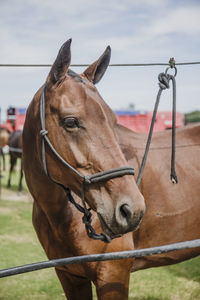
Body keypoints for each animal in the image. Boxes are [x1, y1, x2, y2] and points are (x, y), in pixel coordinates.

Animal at [22, 39, 145, 300]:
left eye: (113, 120)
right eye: (70, 122)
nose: (132, 210)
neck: (62, 216)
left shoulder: (114, 275)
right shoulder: (68, 275)